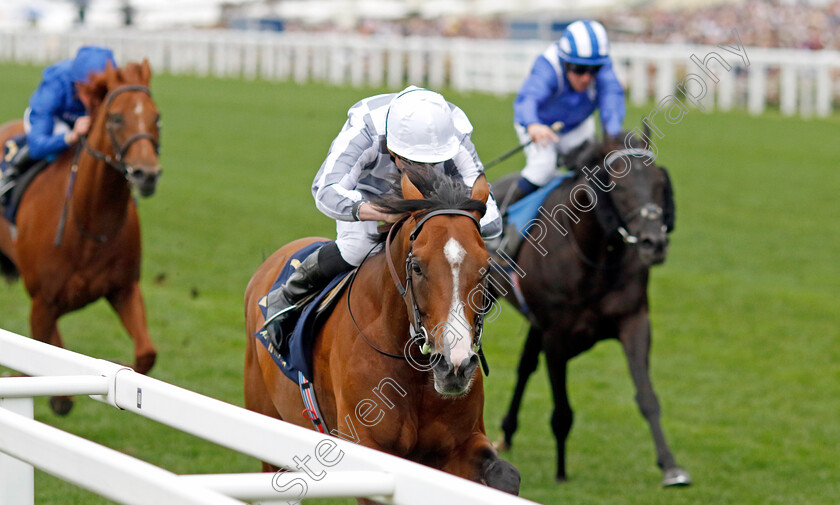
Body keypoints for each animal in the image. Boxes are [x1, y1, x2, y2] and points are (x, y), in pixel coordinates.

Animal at [0, 60, 161, 414]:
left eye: (156, 117)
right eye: (116, 118)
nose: (147, 174)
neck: (90, 226)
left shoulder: (124, 288)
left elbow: (146, 353)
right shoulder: (43, 301)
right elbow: (43, 350)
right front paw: (57, 396)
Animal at [244, 166, 520, 500]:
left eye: (486, 267)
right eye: (417, 266)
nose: (455, 365)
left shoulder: (460, 444)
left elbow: (506, 477)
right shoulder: (371, 449)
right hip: (266, 419)